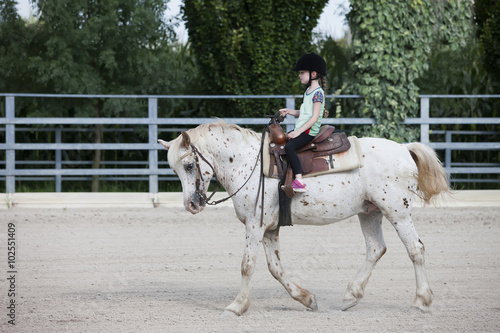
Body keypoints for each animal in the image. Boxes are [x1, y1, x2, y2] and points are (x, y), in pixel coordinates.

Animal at [158, 120, 448, 316]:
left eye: (189, 165)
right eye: (175, 169)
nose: (191, 204)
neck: (248, 163)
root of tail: (404, 149)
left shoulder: (254, 226)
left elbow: (247, 265)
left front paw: (237, 306)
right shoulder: (268, 229)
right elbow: (275, 269)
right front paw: (307, 299)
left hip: (397, 212)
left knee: (415, 249)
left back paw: (421, 300)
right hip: (370, 212)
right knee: (376, 249)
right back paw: (350, 296)